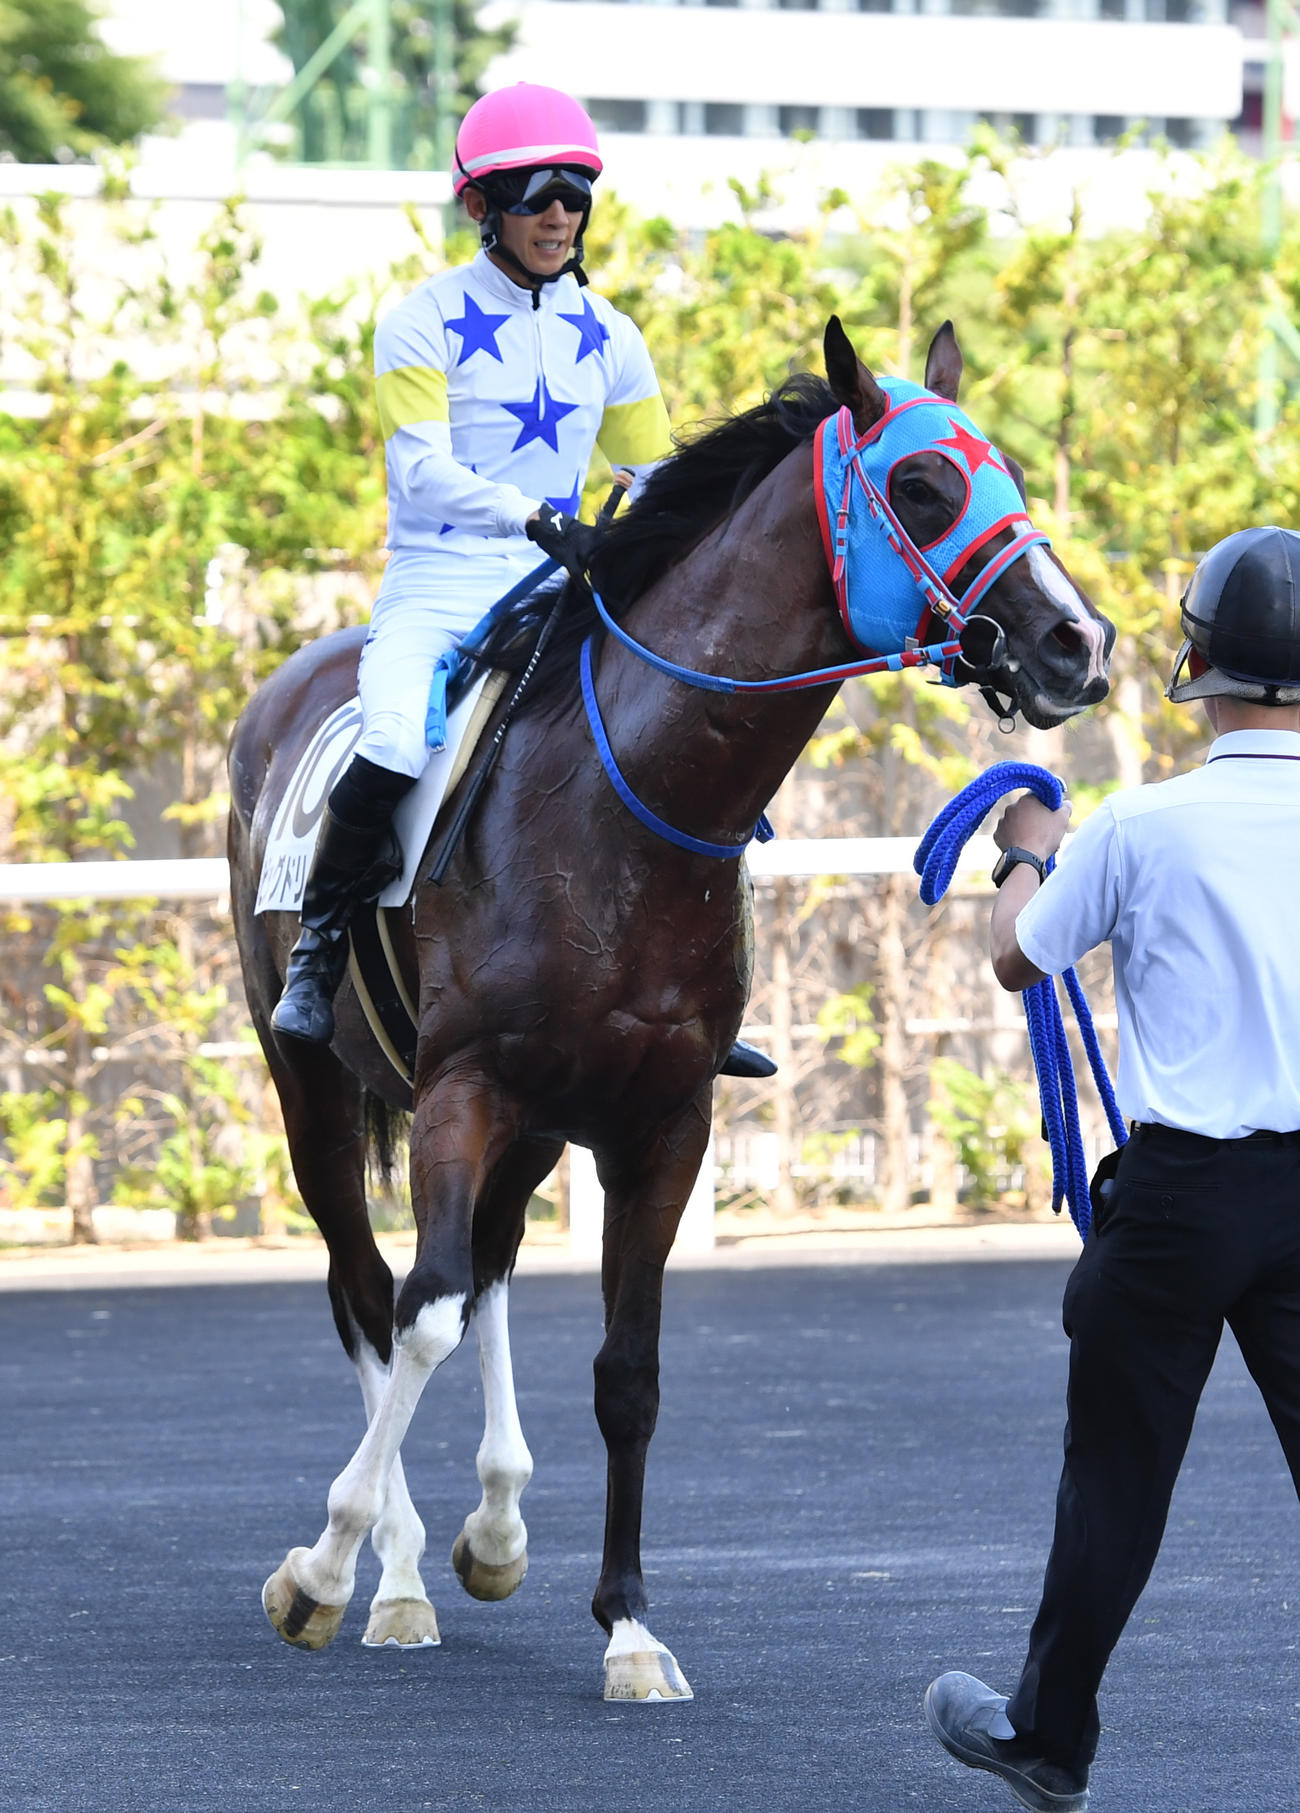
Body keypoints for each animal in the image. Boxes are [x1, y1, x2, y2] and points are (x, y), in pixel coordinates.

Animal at [227, 316, 1115, 1701]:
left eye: (1008, 470)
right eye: (922, 486)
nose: (1078, 643)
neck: (622, 804)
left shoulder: (663, 1122)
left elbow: (625, 1370)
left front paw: (630, 1627)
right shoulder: (462, 1090)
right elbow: (420, 1312)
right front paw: (321, 1570)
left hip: (537, 1124)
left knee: (485, 1268)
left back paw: (491, 1529)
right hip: (313, 1086)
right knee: (369, 1288)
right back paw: (399, 1574)